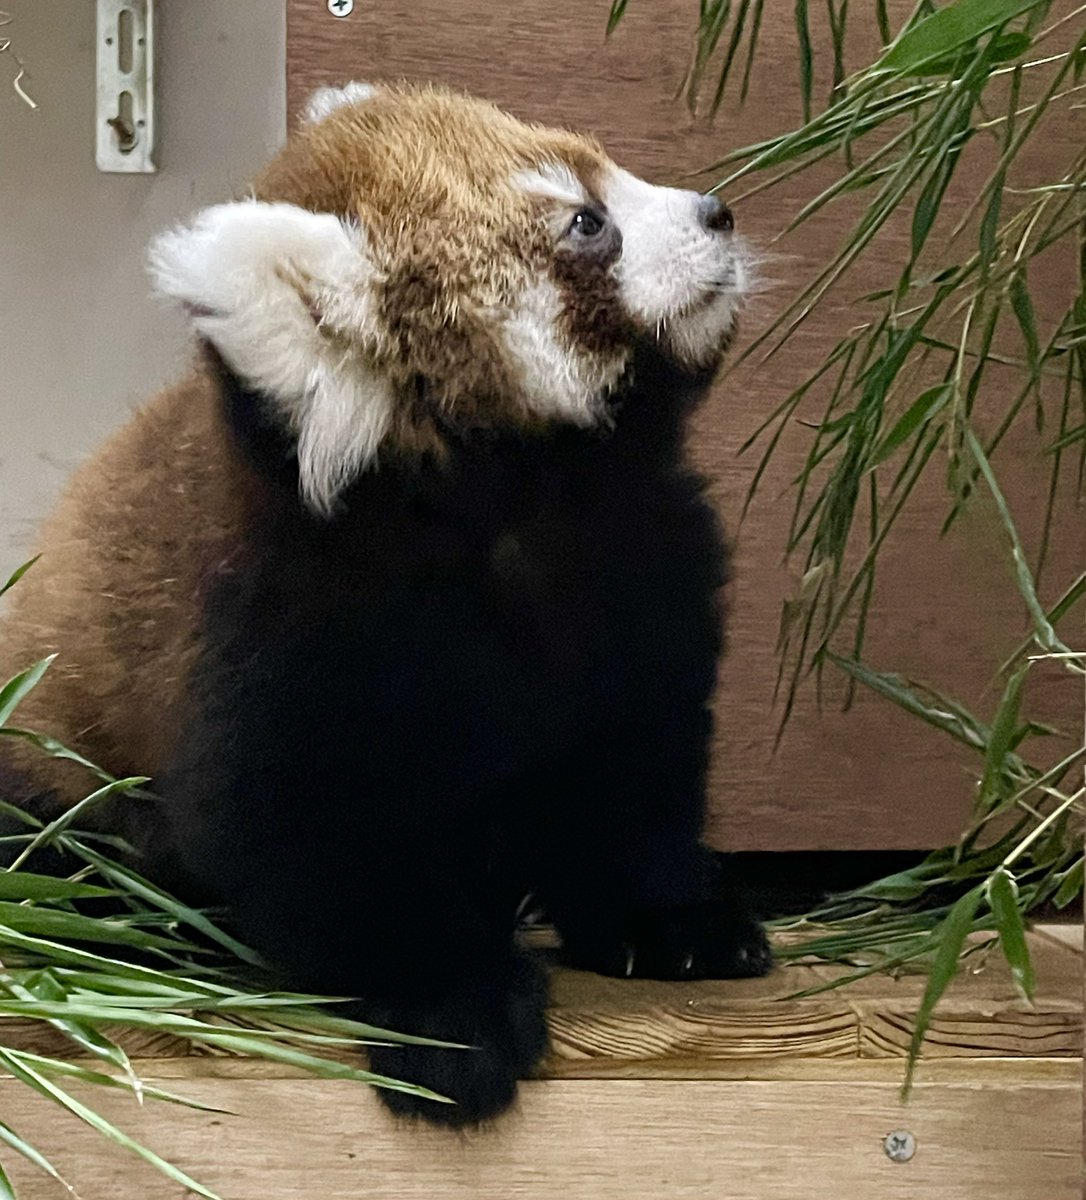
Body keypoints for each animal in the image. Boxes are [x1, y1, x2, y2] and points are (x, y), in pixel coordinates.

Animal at [0, 82, 768, 1123]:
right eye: (586, 223)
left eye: (610, 172)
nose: (716, 212)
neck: (525, 513)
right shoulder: (289, 630)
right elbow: (321, 846)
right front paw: (451, 1011)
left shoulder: (645, 578)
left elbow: (630, 774)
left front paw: (674, 917)